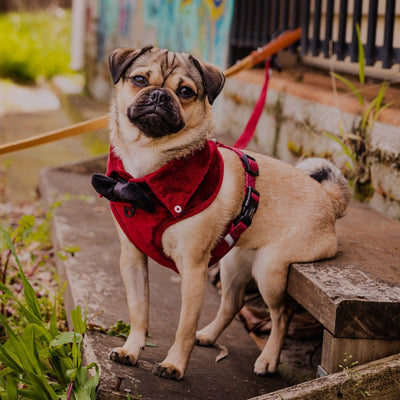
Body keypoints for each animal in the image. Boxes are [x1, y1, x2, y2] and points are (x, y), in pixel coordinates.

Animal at [94, 45, 350, 380]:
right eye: (139, 80)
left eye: (185, 92)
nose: (160, 95)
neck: (147, 170)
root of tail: (329, 200)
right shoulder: (133, 259)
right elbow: (139, 310)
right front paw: (131, 349)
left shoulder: (193, 269)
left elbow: (184, 327)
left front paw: (175, 364)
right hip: (233, 263)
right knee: (233, 303)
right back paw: (209, 335)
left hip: (269, 269)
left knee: (281, 315)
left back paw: (268, 359)